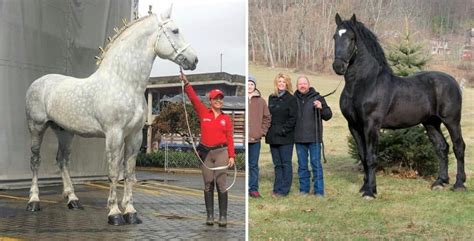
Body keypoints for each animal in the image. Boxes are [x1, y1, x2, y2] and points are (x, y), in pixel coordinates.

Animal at [24, 4, 198, 225]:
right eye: (175, 31)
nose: (194, 59)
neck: (124, 82)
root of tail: (38, 83)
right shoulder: (114, 135)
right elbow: (114, 172)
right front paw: (114, 213)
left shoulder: (134, 136)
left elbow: (129, 172)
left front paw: (130, 212)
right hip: (36, 127)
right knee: (35, 161)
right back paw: (34, 201)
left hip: (65, 132)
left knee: (62, 160)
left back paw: (73, 200)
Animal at [334, 13, 466, 199]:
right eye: (335, 37)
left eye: (351, 38)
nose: (338, 66)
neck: (364, 83)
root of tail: (453, 81)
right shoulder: (354, 126)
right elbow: (363, 156)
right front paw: (365, 187)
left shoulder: (371, 126)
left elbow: (371, 157)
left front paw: (370, 191)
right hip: (431, 123)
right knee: (442, 147)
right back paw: (440, 182)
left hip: (452, 121)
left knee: (458, 146)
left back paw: (459, 184)